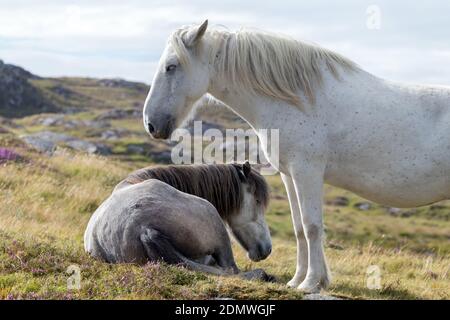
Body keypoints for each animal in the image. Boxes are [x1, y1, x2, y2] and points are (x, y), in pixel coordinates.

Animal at [142, 21, 450, 294]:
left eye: (171, 66)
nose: (151, 124)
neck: (298, 100)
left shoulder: (307, 173)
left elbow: (313, 227)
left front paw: (311, 282)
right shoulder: (290, 175)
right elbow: (300, 228)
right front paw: (299, 280)